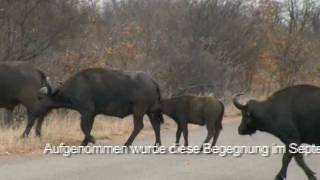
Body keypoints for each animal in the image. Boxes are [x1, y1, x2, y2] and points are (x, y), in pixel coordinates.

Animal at [28, 68, 164, 146]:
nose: (32, 111)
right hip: (150, 111)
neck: (76, 87)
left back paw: (127, 144)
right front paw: (84, 142)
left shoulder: (86, 112)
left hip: (139, 110)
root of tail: (152, 81)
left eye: (40, 98)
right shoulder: (92, 114)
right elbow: (88, 128)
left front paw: (91, 140)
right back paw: (157, 144)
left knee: (138, 126)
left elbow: (84, 127)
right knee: (156, 125)